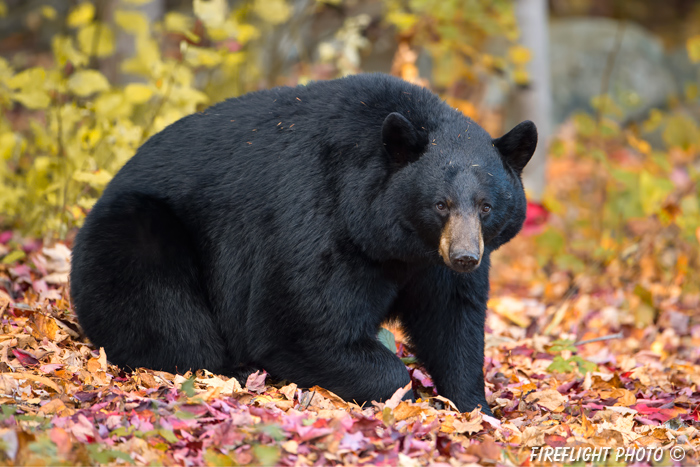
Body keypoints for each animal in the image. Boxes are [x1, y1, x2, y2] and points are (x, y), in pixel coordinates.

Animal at [71, 75, 536, 414]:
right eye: (440, 204)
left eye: (486, 206)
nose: (464, 256)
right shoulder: (322, 223)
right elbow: (299, 324)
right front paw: (403, 394)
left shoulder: (432, 264)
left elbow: (453, 321)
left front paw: (474, 407)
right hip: (135, 233)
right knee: (166, 311)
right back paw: (233, 371)